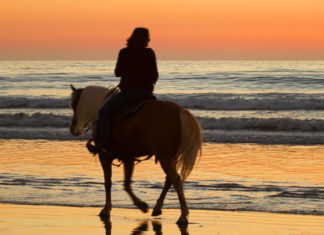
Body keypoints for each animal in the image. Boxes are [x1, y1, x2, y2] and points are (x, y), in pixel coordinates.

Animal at [69, 85, 201, 226]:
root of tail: (179, 111)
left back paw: (183, 216)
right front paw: (141, 205)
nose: (72, 128)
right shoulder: (128, 157)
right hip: (169, 157)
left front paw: (106, 209)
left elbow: (108, 182)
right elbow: (126, 184)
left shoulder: (104, 156)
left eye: (73, 104)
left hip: (165, 157)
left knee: (175, 179)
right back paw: (158, 208)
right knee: (170, 179)